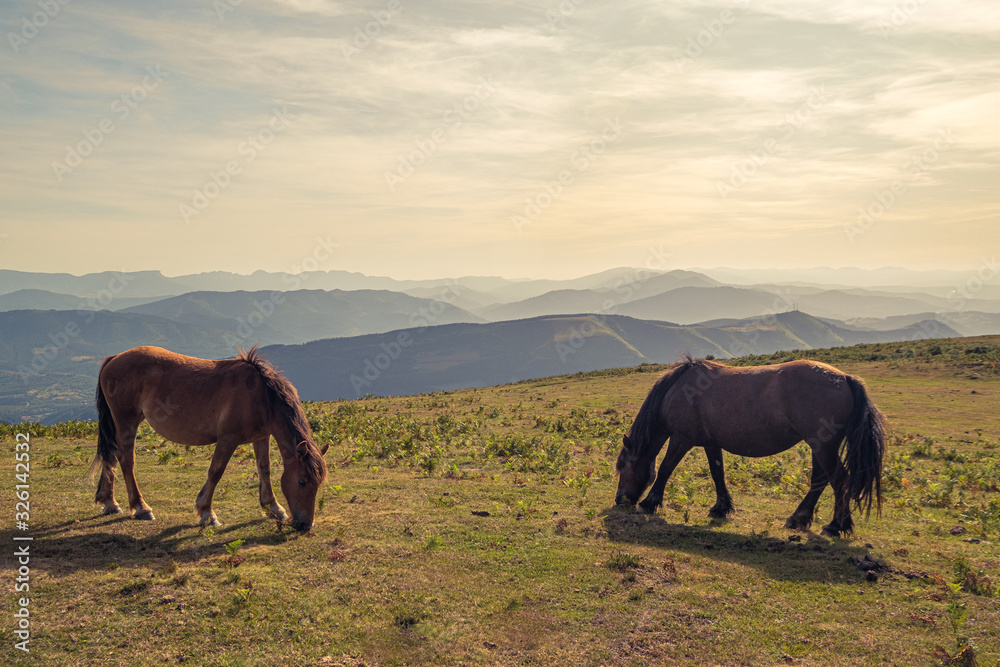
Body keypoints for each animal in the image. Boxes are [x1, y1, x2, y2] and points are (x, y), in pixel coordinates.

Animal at [90, 345, 329, 532]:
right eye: (302, 481)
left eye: (318, 483)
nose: (305, 525)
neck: (261, 396)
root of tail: (115, 358)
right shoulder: (227, 439)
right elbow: (215, 472)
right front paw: (206, 512)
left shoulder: (261, 436)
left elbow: (264, 469)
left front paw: (274, 508)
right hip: (127, 422)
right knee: (126, 459)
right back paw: (141, 508)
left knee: (111, 455)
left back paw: (109, 502)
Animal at [614, 355, 887, 536]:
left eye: (623, 466)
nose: (619, 500)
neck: (679, 390)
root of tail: (845, 378)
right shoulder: (711, 443)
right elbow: (717, 474)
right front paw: (721, 508)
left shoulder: (681, 439)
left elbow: (665, 469)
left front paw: (648, 503)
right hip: (819, 446)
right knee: (820, 481)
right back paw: (799, 519)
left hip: (825, 448)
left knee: (839, 481)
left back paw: (835, 526)